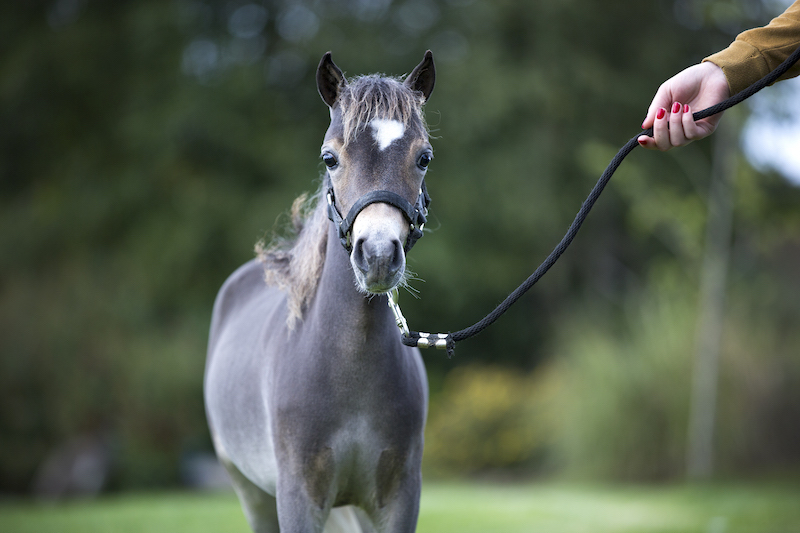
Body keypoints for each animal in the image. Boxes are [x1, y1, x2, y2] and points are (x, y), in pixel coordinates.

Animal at [204, 51, 436, 533]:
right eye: (330, 158)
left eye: (423, 157)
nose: (378, 254)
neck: (349, 368)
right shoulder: (298, 498)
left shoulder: (399, 499)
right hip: (252, 494)